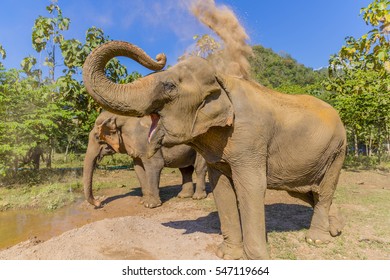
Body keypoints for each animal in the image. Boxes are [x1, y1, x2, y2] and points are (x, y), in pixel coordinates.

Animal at [82, 40, 348, 260]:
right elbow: (222, 189)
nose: (98, 204)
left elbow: (250, 188)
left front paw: (257, 259)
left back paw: (316, 239)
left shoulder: (249, 139)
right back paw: (335, 230)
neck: (222, 79)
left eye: (169, 85)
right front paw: (227, 255)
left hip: (338, 150)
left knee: (324, 190)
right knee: (308, 191)